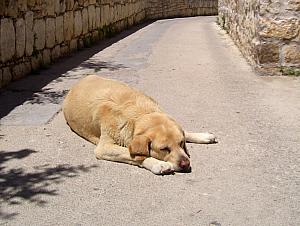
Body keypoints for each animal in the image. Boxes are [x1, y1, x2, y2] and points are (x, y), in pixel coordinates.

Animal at [62, 75, 216, 175]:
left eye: (181, 143)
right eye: (164, 149)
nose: (186, 164)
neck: (140, 115)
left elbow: (184, 131)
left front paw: (202, 136)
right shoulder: (104, 148)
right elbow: (133, 154)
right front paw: (157, 163)